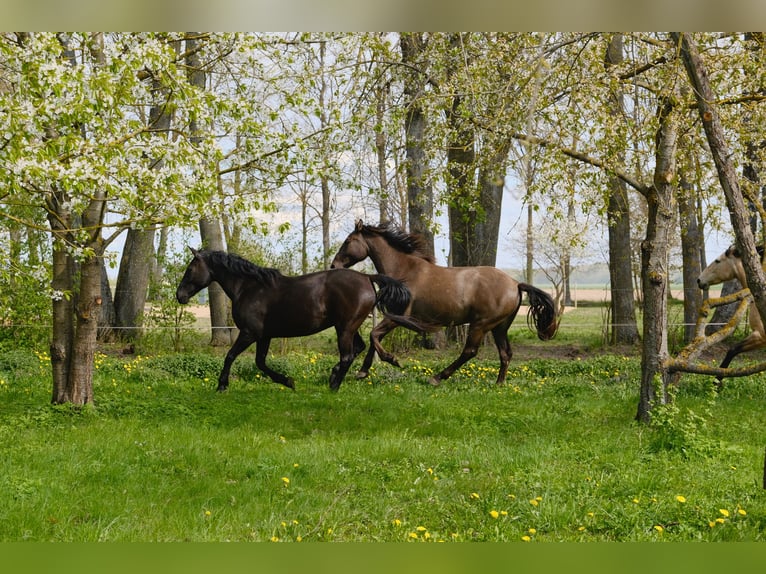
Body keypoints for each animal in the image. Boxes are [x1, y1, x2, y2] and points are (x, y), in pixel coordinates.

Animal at [176, 250, 414, 394]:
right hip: (346, 326)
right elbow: (260, 362)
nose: (180, 296)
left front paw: (222, 385)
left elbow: (230, 356)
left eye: (190, 269)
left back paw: (334, 386)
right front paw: (289, 381)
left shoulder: (249, 333)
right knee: (358, 348)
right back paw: (334, 377)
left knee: (347, 355)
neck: (249, 288)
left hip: (345, 328)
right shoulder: (264, 336)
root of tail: (367, 278)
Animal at [330, 220, 560, 388]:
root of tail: (515, 284)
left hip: (481, 324)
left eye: (348, 240)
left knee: (470, 351)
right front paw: (363, 371)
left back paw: (437, 377)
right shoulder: (394, 317)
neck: (405, 270)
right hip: (499, 327)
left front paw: (392, 360)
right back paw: (499, 384)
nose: (334, 265)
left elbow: (374, 334)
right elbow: (374, 338)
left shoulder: (400, 316)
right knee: (505, 353)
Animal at [700, 244, 764, 382]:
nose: (699, 280)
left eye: (717, 261)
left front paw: (716, 381)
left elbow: (732, 350)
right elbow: (732, 350)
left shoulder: (760, 335)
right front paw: (716, 381)